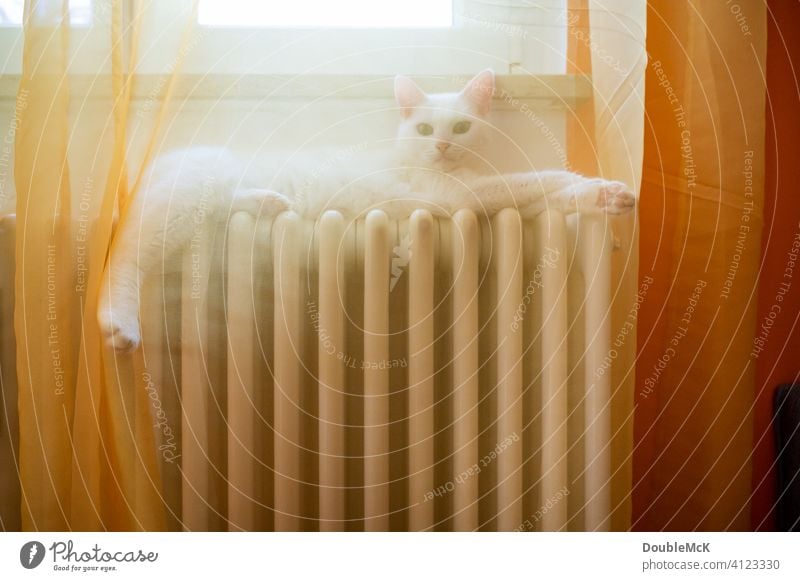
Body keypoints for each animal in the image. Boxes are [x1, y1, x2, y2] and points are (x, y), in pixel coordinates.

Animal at [97, 71, 636, 354]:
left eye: (461, 127)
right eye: (425, 130)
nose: (443, 145)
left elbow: (545, 193)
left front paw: (607, 198)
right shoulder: (458, 196)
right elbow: (538, 179)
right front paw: (596, 188)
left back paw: (268, 199)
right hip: (179, 206)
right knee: (122, 261)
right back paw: (120, 325)